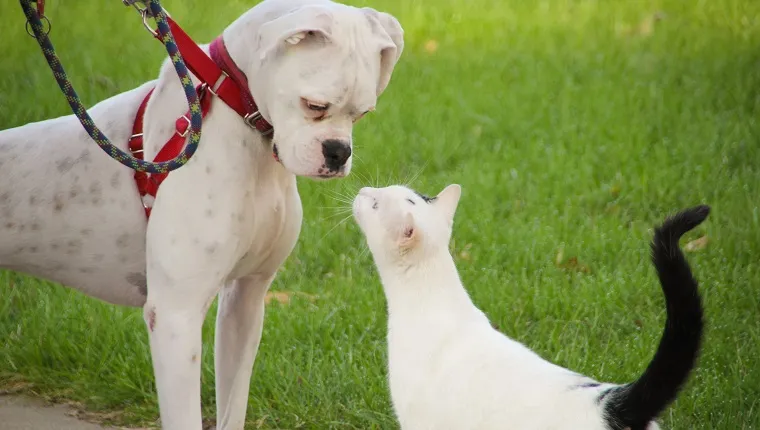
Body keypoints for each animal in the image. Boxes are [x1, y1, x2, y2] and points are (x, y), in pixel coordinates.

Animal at [0, 0, 404, 428]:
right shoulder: (175, 316)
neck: (239, 117)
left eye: (362, 114)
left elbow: (233, 406)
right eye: (314, 106)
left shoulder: (245, 300)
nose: (338, 152)